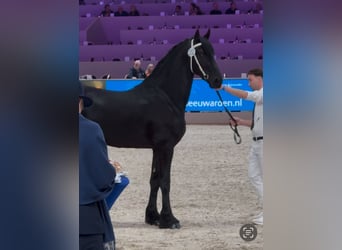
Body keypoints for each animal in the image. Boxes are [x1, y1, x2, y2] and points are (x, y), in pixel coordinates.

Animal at [82, 29, 222, 229]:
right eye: (202, 52)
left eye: (213, 51)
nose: (218, 80)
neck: (165, 96)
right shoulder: (166, 146)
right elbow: (165, 181)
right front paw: (169, 219)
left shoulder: (157, 148)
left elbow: (154, 180)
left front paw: (153, 217)